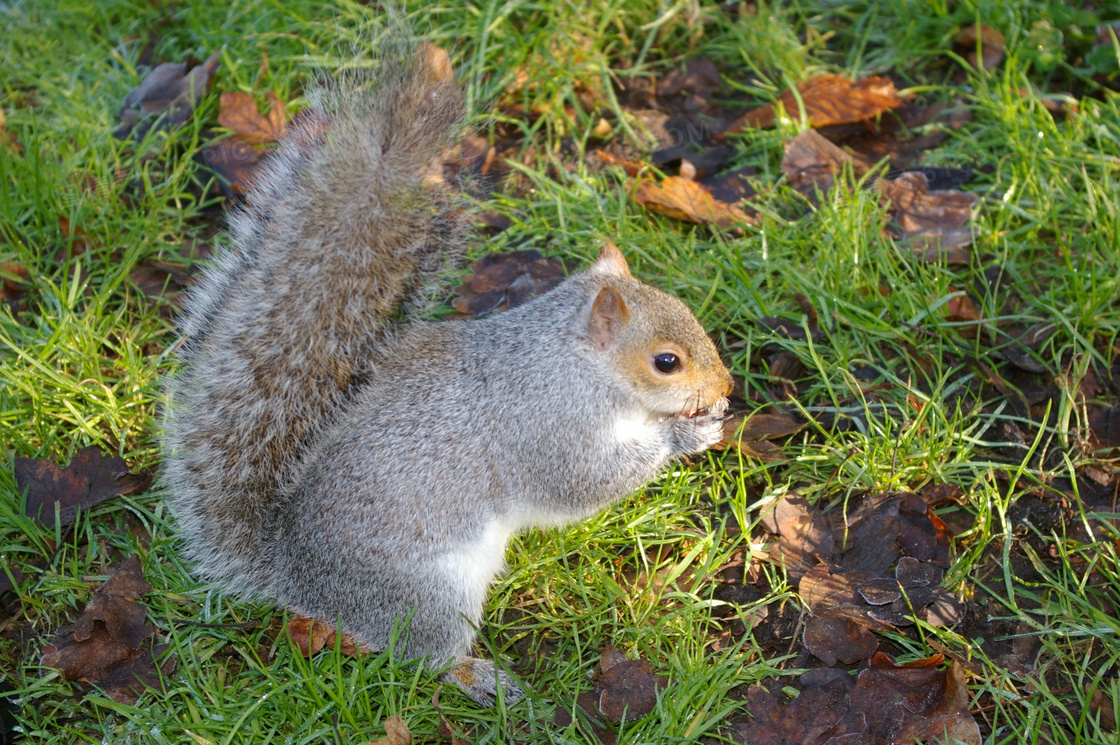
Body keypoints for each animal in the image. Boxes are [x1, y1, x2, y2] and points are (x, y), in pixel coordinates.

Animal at [160, 37, 734, 708]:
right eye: (666, 362)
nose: (726, 387)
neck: (573, 364)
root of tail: (300, 578)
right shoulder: (544, 429)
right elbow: (582, 482)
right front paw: (686, 433)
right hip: (431, 592)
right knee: (425, 655)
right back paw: (481, 678)